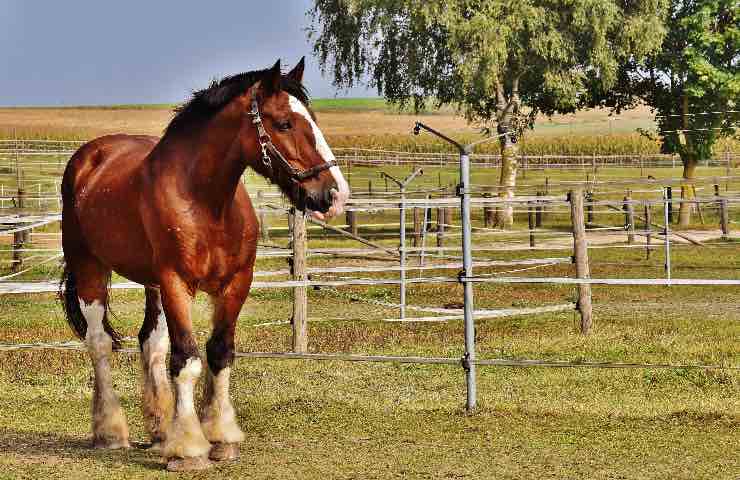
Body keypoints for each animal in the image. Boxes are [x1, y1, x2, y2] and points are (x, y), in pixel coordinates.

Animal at [59, 58, 348, 470]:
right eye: (284, 124)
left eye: (313, 118)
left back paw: (160, 430)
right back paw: (110, 432)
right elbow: (187, 359)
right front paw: (190, 449)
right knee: (99, 342)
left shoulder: (235, 283)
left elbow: (219, 352)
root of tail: (90, 157)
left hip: (151, 285)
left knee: (151, 343)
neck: (206, 203)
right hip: (90, 267)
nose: (334, 195)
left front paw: (220, 438)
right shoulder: (176, 282)